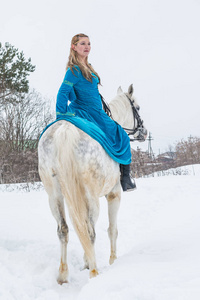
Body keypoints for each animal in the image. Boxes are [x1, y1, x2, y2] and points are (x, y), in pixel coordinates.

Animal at [38, 84, 147, 284]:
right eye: (137, 107)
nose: (144, 132)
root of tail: (65, 131)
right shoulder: (114, 194)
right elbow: (112, 229)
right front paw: (112, 261)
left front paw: (86, 261)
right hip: (90, 197)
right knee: (90, 232)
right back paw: (95, 273)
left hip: (54, 195)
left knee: (64, 229)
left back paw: (63, 275)